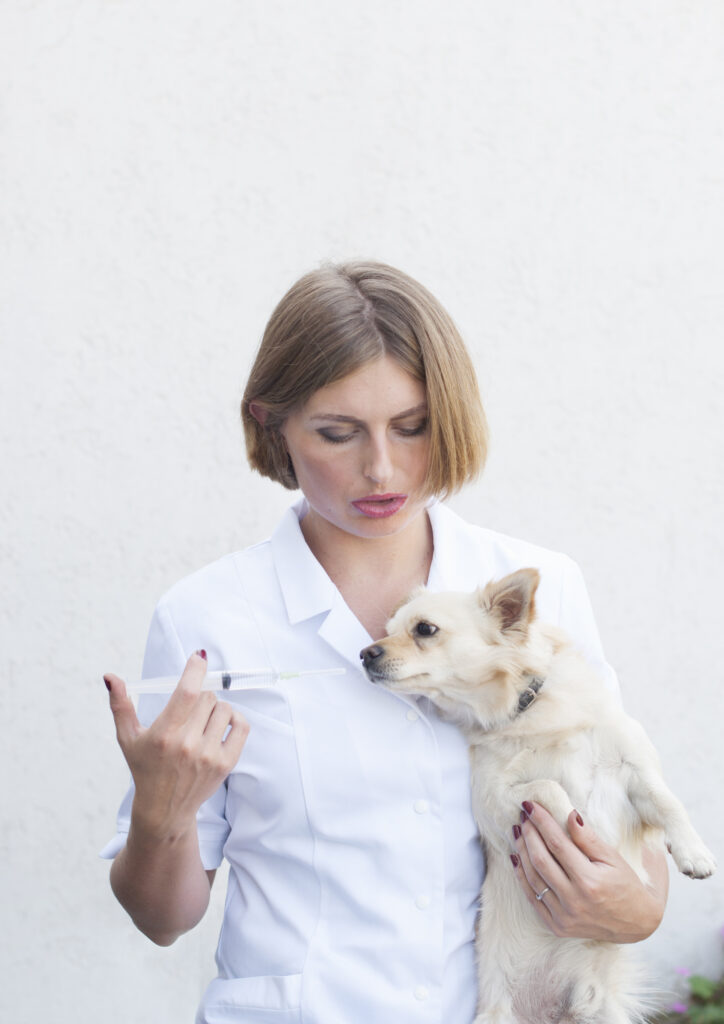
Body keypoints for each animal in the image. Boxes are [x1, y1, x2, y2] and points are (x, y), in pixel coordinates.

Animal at [360, 569, 716, 1024]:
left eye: (424, 629)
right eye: (386, 631)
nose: (365, 652)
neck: (531, 708)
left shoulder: (631, 768)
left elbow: (668, 800)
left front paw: (694, 853)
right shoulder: (495, 802)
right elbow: (549, 788)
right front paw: (573, 829)